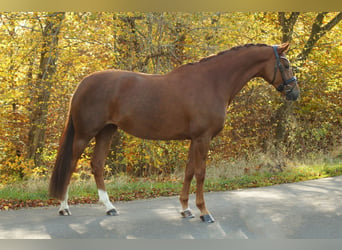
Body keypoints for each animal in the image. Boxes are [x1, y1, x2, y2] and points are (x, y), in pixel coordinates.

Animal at [49, 42, 298, 223]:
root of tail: (83, 83)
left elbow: (188, 172)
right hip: (85, 133)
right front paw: (204, 213)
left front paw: (185, 209)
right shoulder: (203, 138)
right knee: (71, 164)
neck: (212, 82)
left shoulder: (194, 139)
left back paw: (110, 207)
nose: (295, 93)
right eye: (285, 65)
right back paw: (64, 207)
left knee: (97, 165)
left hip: (106, 131)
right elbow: (201, 173)